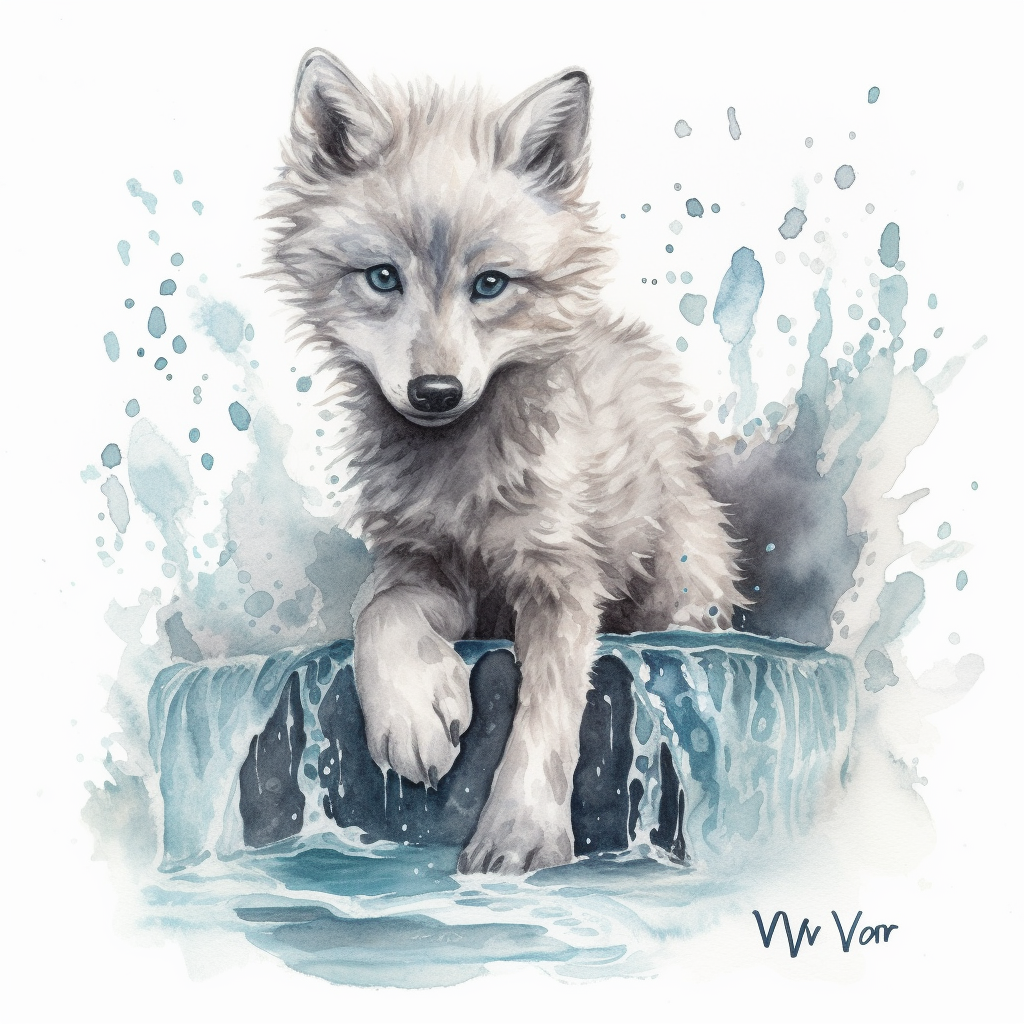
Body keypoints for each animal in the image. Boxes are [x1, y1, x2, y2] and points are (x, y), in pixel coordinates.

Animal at [268, 49, 743, 874]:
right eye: (383, 277)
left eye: (490, 284)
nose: (435, 391)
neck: (463, 472)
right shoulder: (428, 566)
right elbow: (379, 619)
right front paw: (414, 713)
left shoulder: (560, 582)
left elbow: (545, 718)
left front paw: (520, 834)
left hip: (681, 575)